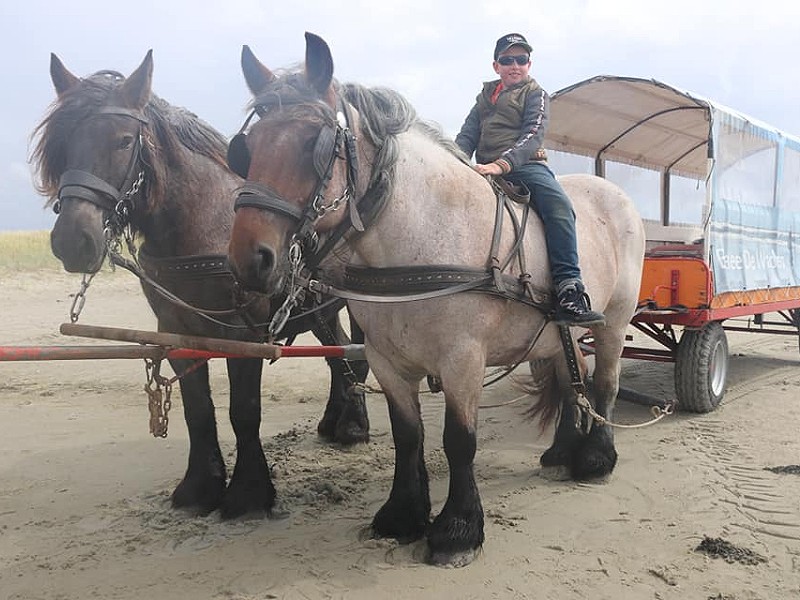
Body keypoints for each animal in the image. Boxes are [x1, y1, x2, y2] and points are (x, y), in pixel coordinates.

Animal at [30, 49, 370, 519]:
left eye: (123, 141)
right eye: (63, 144)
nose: (72, 241)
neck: (200, 224)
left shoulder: (241, 335)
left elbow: (243, 411)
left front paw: (248, 493)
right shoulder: (176, 330)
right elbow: (198, 409)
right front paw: (200, 487)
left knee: (354, 356)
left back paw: (354, 424)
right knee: (336, 351)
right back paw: (336, 420)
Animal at [226, 33, 645, 566]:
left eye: (311, 144)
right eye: (247, 149)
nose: (248, 260)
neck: (423, 234)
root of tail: (613, 192)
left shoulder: (462, 359)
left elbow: (458, 440)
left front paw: (458, 529)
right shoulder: (385, 359)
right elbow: (408, 437)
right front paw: (402, 515)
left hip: (613, 320)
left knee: (605, 383)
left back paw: (595, 457)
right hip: (556, 335)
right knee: (575, 380)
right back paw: (562, 451)